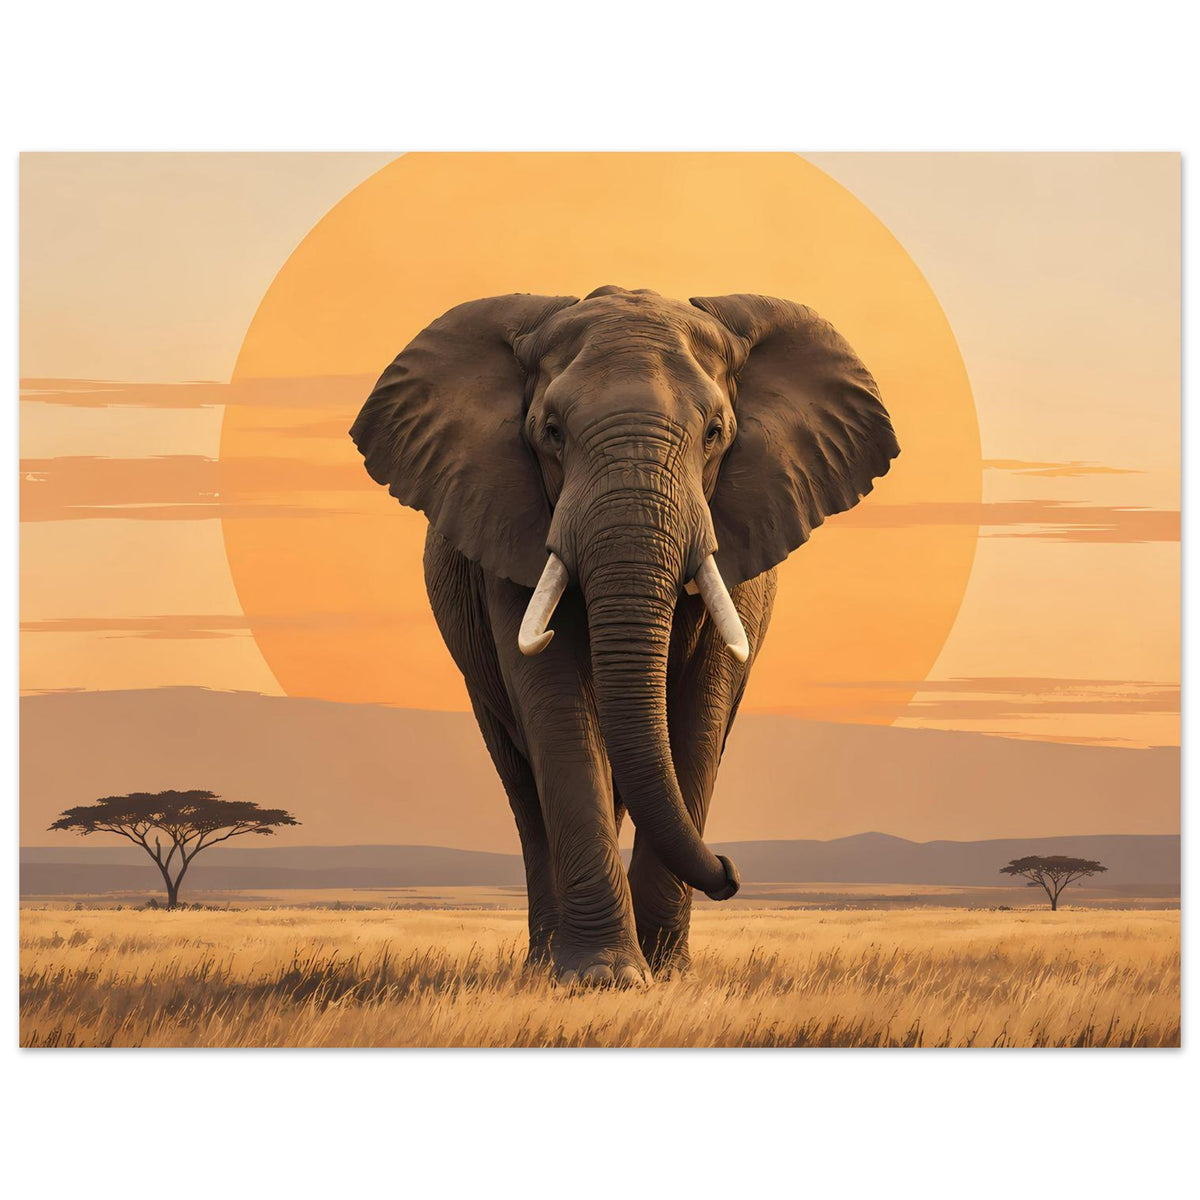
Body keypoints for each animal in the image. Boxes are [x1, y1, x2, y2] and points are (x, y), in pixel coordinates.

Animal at [350, 286, 898, 985]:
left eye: (715, 433)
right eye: (551, 433)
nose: (731, 873)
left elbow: (700, 713)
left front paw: (667, 976)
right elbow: (556, 705)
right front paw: (603, 980)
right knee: (524, 783)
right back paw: (544, 965)